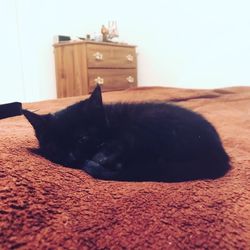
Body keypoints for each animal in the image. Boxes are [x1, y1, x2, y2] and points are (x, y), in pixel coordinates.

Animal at [23, 85, 230, 182]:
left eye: (82, 138)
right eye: (55, 147)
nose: (71, 157)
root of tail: (220, 154)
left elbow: (113, 146)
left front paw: (100, 157)